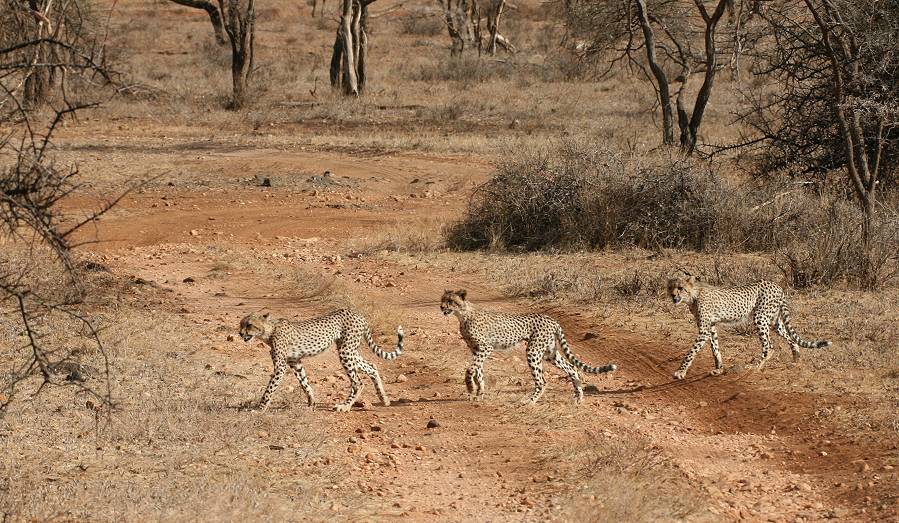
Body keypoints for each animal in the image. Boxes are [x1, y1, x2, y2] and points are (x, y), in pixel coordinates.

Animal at [241, 310, 406, 412]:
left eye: (249, 325)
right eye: (241, 324)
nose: (240, 333)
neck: (269, 331)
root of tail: (358, 314)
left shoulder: (281, 366)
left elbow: (270, 389)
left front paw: (260, 408)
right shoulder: (295, 362)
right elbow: (304, 383)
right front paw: (311, 403)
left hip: (346, 351)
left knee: (358, 382)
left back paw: (345, 406)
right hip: (349, 350)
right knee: (371, 366)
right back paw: (384, 399)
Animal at [442, 290, 620, 406]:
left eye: (451, 301)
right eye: (443, 299)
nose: (442, 308)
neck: (463, 314)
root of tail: (551, 319)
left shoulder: (486, 348)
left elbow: (470, 369)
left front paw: (471, 388)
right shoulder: (476, 349)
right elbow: (478, 371)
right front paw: (479, 394)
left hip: (533, 351)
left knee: (542, 381)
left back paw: (529, 401)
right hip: (549, 352)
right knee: (571, 368)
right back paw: (578, 397)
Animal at [668, 272, 828, 378]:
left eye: (680, 288)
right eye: (670, 287)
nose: (673, 296)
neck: (693, 295)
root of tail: (776, 285)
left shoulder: (704, 330)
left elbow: (692, 352)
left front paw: (680, 371)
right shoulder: (711, 327)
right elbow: (715, 349)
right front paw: (719, 369)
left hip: (760, 317)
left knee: (769, 346)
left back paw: (755, 366)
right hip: (774, 321)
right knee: (790, 337)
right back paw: (796, 358)